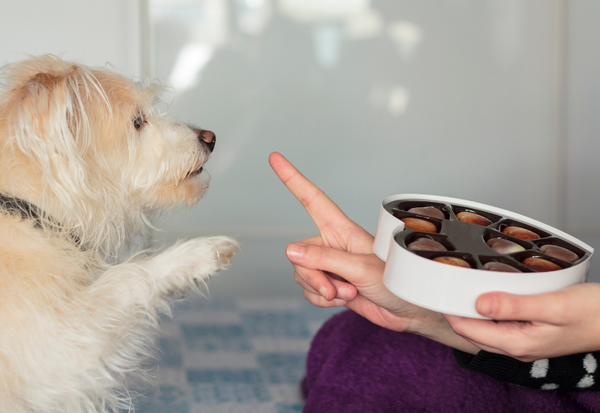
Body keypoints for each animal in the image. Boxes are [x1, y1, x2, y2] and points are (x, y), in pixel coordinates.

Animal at [0, 55, 239, 412]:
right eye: (138, 121)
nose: (210, 137)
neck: (30, 211)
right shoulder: (59, 349)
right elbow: (126, 277)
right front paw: (194, 255)